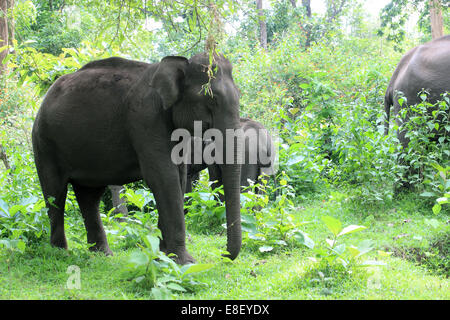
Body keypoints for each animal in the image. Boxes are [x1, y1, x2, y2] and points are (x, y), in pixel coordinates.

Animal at [32, 52, 243, 264]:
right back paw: (60, 252)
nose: (222, 254)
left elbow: (179, 177)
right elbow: (163, 177)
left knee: (89, 196)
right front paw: (184, 262)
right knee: (55, 194)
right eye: (212, 99)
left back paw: (102, 254)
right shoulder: (146, 119)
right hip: (44, 143)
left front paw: (163, 255)